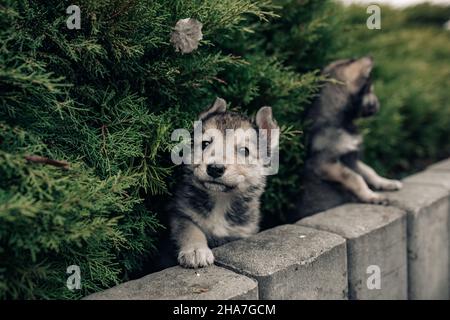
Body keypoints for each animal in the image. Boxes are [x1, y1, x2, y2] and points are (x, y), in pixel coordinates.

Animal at [171, 97, 278, 268]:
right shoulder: (180, 213)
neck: (220, 199)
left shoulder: (241, 232)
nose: (215, 169)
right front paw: (195, 250)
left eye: (244, 151)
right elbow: (189, 229)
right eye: (205, 144)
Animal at [292, 57, 404, 220]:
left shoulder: (352, 158)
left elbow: (369, 171)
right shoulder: (326, 163)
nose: (378, 104)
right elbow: (355, 177)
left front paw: (386, 183)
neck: (343, 122)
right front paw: (372, 196)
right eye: (370, 89)